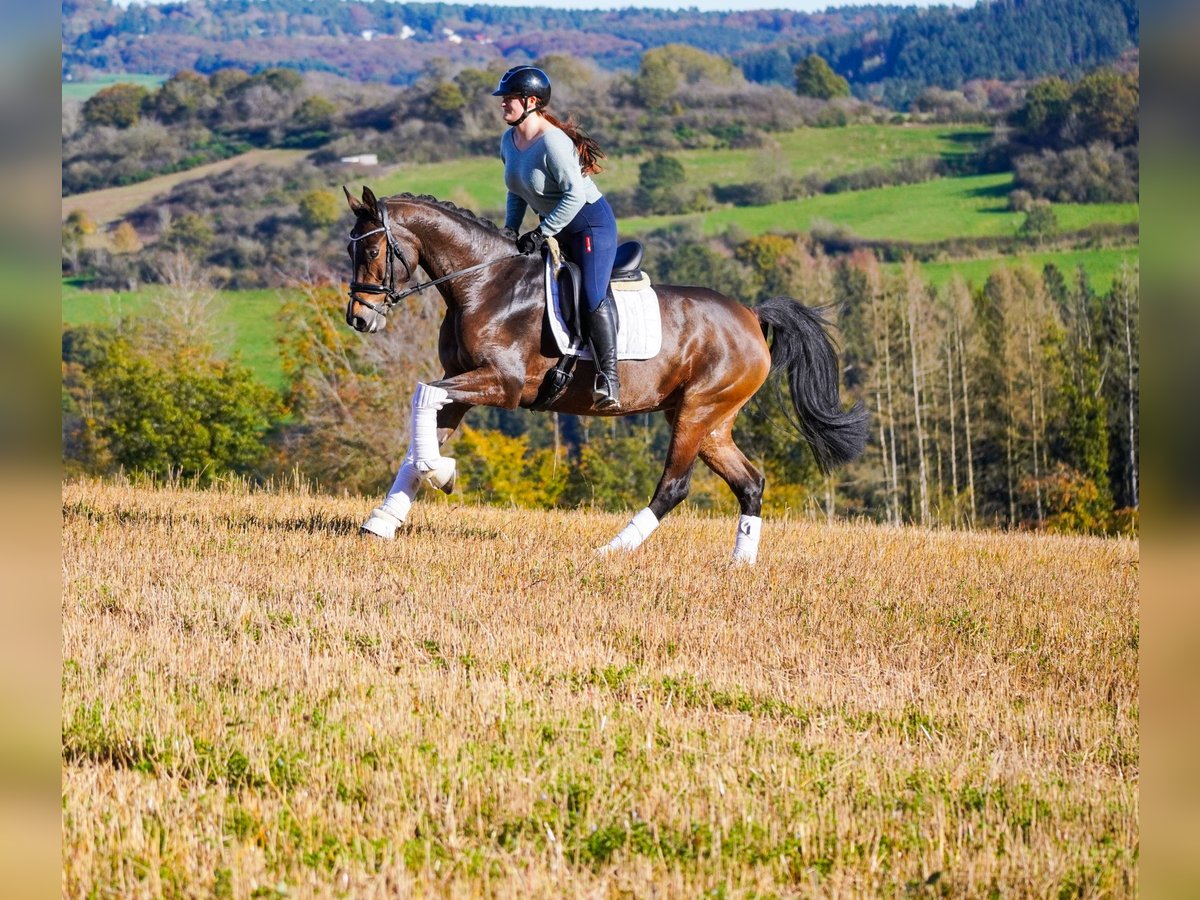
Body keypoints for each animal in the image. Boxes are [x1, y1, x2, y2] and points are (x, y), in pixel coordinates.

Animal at [343, 184, 868, 564]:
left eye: (371, 253)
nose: (359, 319)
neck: (485, 282)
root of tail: (752, 316)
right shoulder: (464, 379)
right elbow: (422, 429)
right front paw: (384, 519)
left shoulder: (502, 384)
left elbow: (422, 395)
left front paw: (444, 475)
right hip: (711, 420)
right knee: (750, 483)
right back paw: (741, 562)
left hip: (697, 411)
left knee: (674, 486)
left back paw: (611, 550)